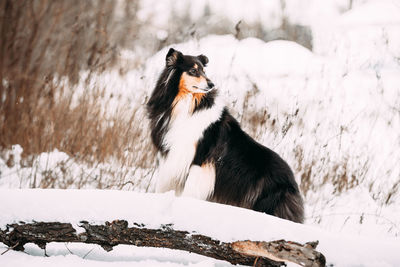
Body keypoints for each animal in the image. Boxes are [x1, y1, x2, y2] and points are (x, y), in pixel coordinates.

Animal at [148, 48, 304, 224]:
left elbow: (189, 191)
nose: (211, 84)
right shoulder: (171, 159)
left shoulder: (199, 162)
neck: (188, 105)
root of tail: (293, 181)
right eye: (193, 70)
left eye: (204, 70)